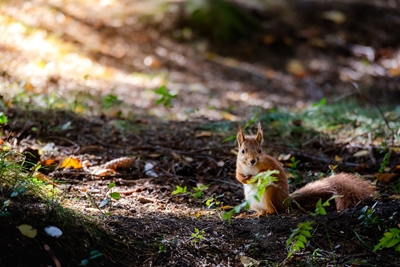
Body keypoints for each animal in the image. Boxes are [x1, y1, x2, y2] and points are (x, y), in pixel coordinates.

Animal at [234, 122, 376, 217]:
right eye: (242, 151)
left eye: (260, 151)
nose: (252, 161)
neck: (250, 167)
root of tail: (286, 202)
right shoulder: (239, 166)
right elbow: (237, 175)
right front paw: (244, 179)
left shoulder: (270, 163)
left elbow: (269, 171)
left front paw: (257, 176)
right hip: (251, 200)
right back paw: (253, 213)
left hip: (270, 194)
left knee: (274, 210)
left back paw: (266, 212)